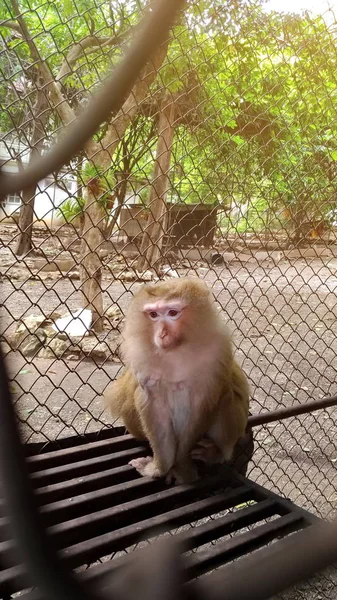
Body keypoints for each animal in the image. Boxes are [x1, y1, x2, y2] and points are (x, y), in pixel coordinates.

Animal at [105, 278, 249, 486]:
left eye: (173, 313)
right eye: (154, 315)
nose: (162, 334)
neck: (177, 351)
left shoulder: (217, 350)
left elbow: (202, 403)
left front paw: (182, 469)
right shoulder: (142, 358)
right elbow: (152, 402)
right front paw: (159, 468)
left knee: (228, 395)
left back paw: (215, 452)